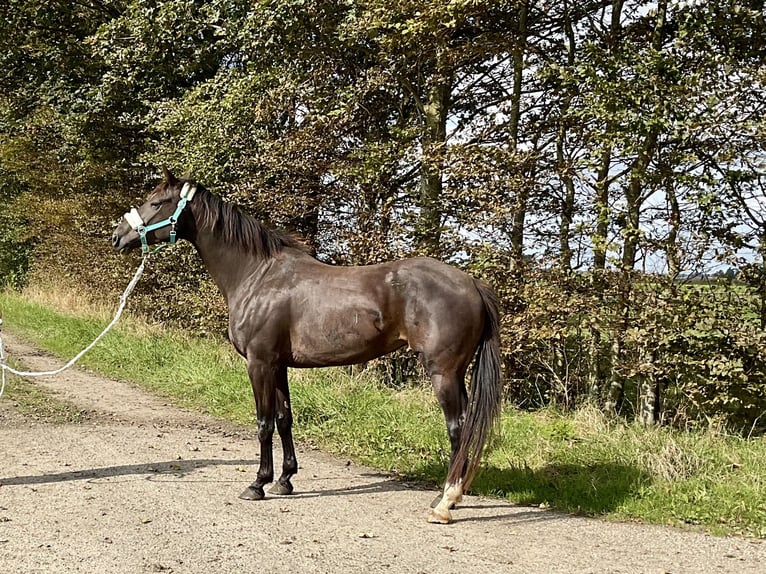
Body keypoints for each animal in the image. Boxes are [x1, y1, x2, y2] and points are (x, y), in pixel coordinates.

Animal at [112, 169, 504, 524]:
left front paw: (257, 484)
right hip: (456, 374)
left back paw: (446, 502)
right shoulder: (278, 365)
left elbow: (263, 423)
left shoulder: (259, 363)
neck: (256, 275)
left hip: (443, 373)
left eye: (156, 202)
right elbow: (284, 419)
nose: (117, 236)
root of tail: (471, 283)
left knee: (458, 428)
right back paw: (453, 495)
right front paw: (284, 480)